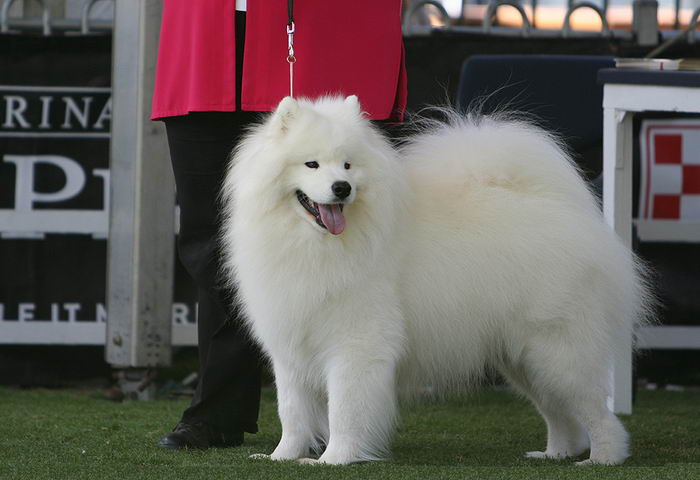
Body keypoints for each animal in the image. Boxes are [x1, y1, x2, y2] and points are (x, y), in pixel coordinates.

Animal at [219, 95, 652, 466]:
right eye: (311, 165)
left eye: (347, 166)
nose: (342, 188)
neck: (313, 244)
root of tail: (566, 211)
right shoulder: (290, 346)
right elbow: (291, 412)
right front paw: (280, 457)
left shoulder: (356, 345)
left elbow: (344, 409)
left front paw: (333, 460)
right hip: (523, 359)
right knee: (560, 414)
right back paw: (556, 454)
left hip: (557, 351)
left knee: (597, 412)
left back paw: (603, 459)